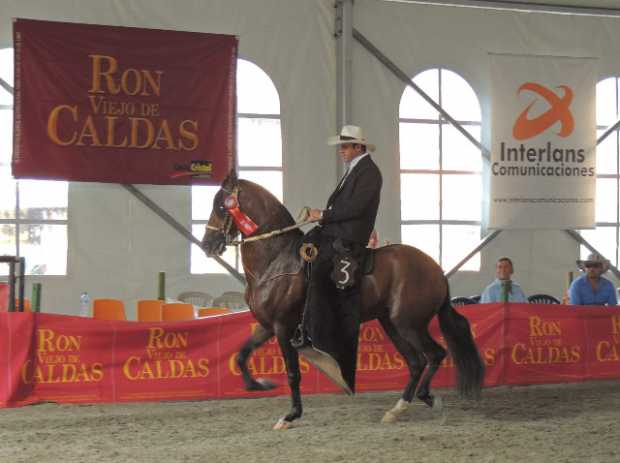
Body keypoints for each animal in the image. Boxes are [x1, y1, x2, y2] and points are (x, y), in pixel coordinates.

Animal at [203, 172, 484, 430]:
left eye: (221, 206)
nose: (208, 245)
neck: (276, 259)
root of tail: (436, 270)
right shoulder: (268, 325)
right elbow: (242, 354)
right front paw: (259, 384)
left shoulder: (283, 327)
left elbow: (293, 374)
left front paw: (290, 415)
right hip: (391, 323)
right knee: (417, 362)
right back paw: (397, 409)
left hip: (408, 323)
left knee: (435, 354)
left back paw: (428, 398)